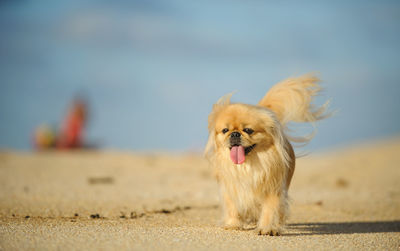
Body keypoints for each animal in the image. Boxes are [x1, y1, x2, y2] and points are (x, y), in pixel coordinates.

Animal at [205, 74, 330, 235]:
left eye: (248, 130)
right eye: (225, 130)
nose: (235, 134)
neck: (247, 165)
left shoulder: (273, 188)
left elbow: (270, 210)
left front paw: (267, 229)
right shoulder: (231, 188)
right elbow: (233, 208)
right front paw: (233, 225)